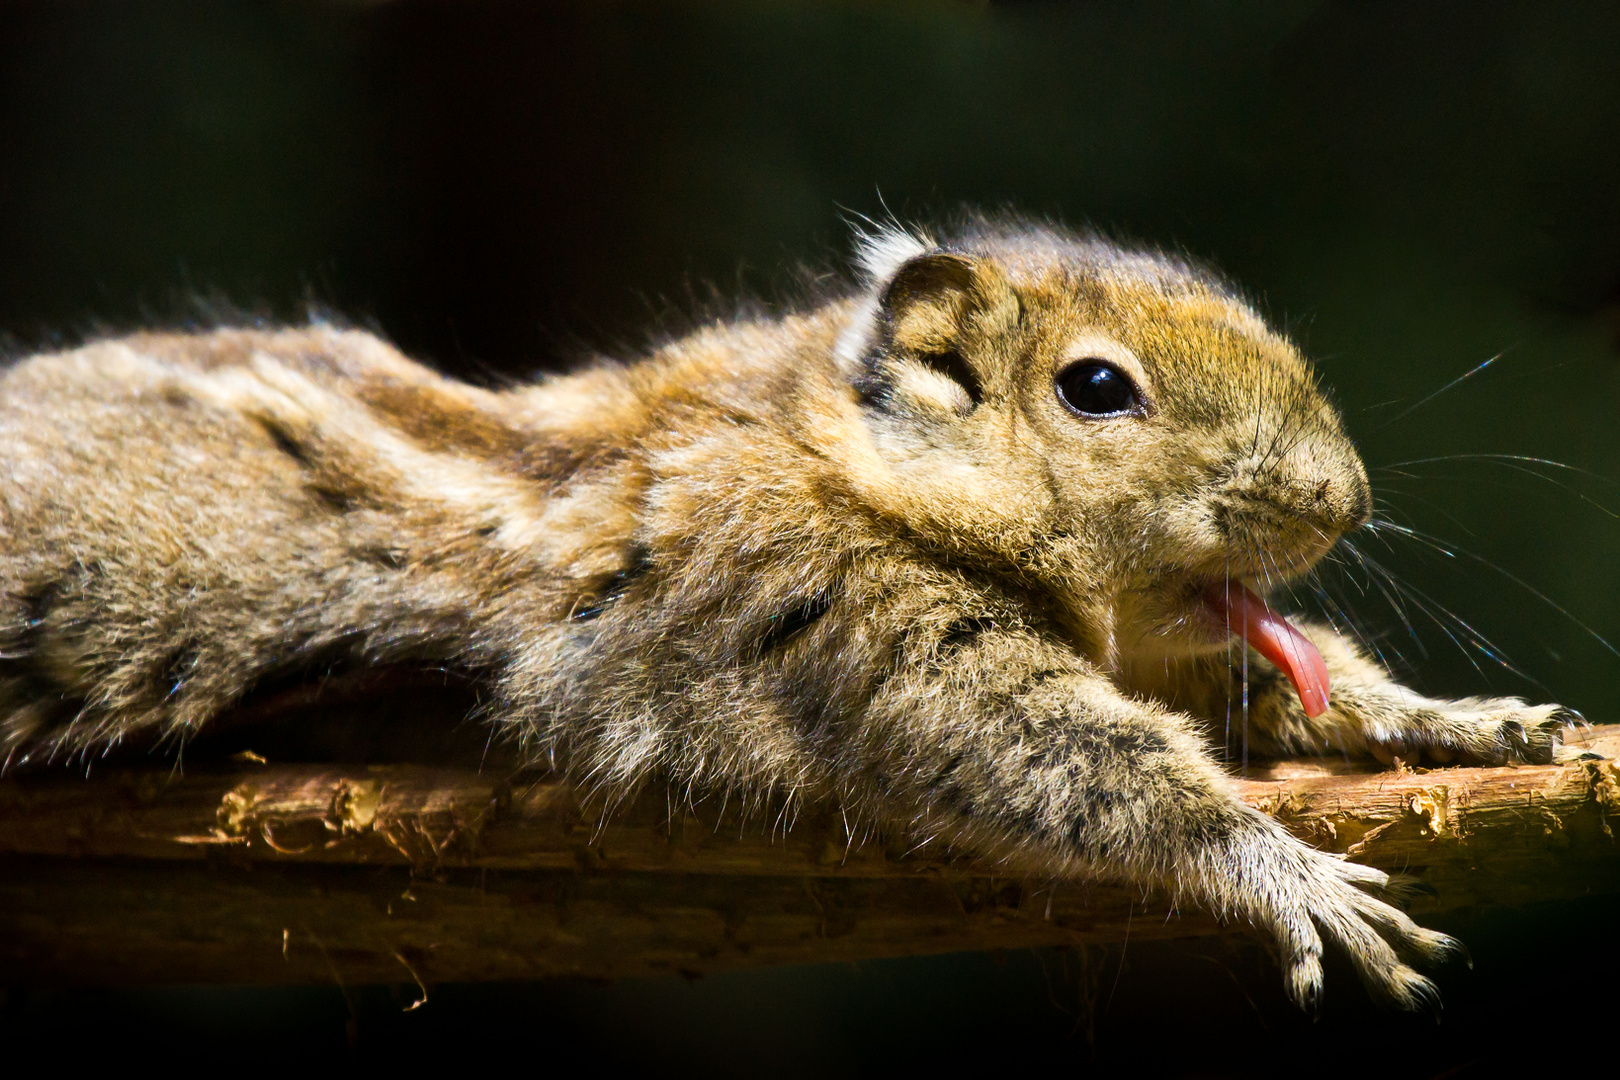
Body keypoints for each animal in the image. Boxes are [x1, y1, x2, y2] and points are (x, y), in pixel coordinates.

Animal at [0, 213, 1574, 1016]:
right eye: (1096, 388)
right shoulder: (845, 612)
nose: (1341, 499)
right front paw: (1280, 870)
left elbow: (1265, 691)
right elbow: (1061, 754)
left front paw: (1454, 719)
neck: (840, 443)